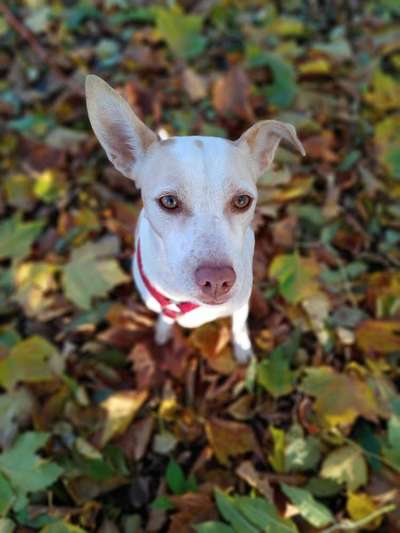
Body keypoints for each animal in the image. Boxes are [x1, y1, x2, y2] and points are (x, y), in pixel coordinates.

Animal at [84, 75, 304, 364]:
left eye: (242, 201)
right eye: (169, 201)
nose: (218, 280)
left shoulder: (241, 302)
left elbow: (238, 324)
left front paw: (242, 347)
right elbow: (166, 318)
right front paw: (163, 332)